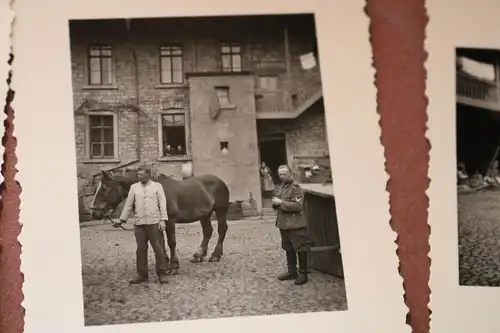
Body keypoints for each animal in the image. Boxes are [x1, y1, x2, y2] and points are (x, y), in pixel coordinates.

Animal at [90, 169, 230, 272]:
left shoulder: (170, 221)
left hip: (221, 211)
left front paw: (174, 265)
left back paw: (215, 255)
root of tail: (220, 181)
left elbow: (171, 242)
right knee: (208, 231)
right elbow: (161, 242)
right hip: (205, 215)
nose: (93, 212)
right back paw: (198, 255)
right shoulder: (158, 223)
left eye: (105, 188)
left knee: (221, 230)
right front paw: (165, 262)